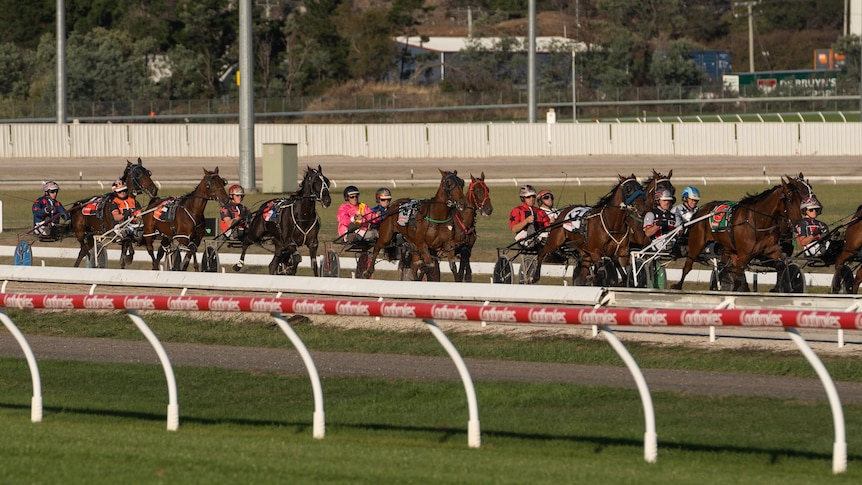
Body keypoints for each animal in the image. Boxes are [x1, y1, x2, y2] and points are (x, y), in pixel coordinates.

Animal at [672, 173, 812, 292]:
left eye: (800, 199)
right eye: (789, 199)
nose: (799, 222)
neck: (757, 221)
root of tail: (700, 210)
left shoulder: (770, 250)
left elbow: (783, 264)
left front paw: (789, 286)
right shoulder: (744, 255)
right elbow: (740, 277)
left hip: (728, 249)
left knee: (725, 268)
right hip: (697, 243)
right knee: (688, 265)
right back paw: (678, 286)